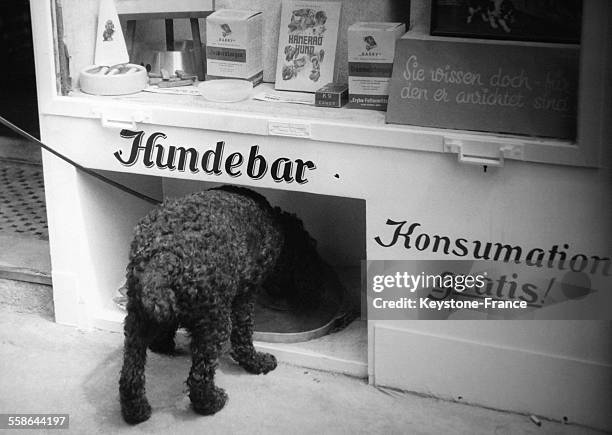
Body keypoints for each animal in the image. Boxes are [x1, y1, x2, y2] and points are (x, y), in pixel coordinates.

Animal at [119, 186, 330, 424]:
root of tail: (165, 255)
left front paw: (163, 344)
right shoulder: (246, 294)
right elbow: (243, 335)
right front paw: (257, 362)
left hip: (136, 320)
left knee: (130, 373)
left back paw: (136, 410)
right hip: (215, 323)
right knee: (199, 378)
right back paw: (213, 402)